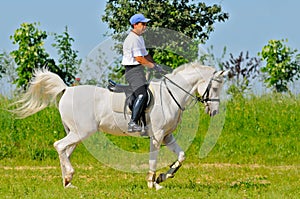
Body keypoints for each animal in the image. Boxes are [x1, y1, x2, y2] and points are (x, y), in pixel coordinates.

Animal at [12, 62, 227, 190]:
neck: (170, 95)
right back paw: (69, 177)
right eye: (215, 87)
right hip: (82, 132)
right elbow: (153, 160)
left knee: (65, 151)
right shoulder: (157, 136)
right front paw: (152, 183)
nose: (215, 112)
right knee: (59, 146)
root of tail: (66, 90)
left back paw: (67, 183)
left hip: (75, 133)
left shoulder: (167, 136)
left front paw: (162, 178)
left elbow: (181, 157)